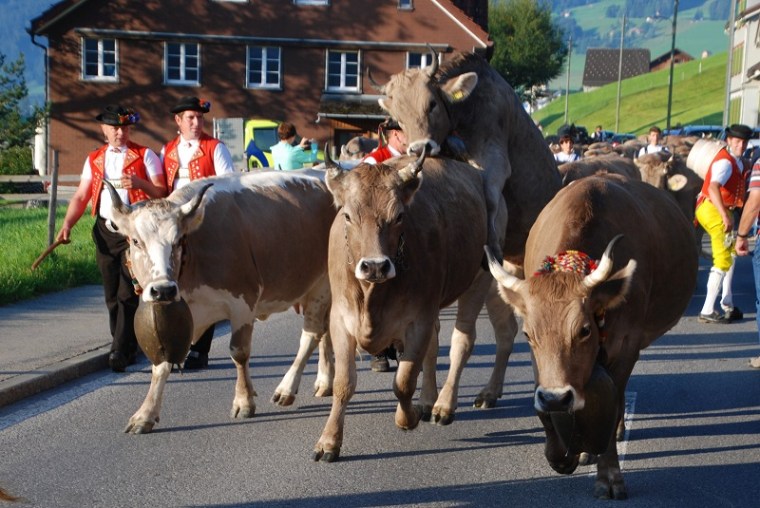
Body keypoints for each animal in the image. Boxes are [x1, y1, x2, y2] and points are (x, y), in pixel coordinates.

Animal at [105, 170, 337, 434]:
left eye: (178, 240)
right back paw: (324, 382)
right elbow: (162, 363)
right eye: (135, 241)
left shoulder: (242, 303)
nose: (163, 290)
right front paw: (145, 414)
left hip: (322, 285)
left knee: (311, 335)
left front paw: (244, 401)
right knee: (324, 332)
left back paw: (286, 389)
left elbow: (239, 352)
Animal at [312, 151, 488, 462]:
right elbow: (343, 384)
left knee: (463, 341)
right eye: (348, 215)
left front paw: (407, 419)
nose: (375, 266)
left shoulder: (417, 320)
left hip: (478, 279)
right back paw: (429, 400)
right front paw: (329, 440)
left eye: (399, 216)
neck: (372, 296)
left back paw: (443, 405)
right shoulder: (341, 320)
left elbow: (404, 381)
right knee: (435, 346)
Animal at [373, 49, 561, 416]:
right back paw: (491, 391)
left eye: (432, 103)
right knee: (507, 331)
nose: (420, 147)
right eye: (397, 117)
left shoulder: (495, 160)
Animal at [486, 176, 698, 499]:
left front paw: (609, 476)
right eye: (528, 333)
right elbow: (543, 406)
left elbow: (610, 407)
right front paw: (561, 454)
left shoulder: (626, 344)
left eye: (584, 330)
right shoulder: (542, 366)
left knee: (618, 397)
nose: (557, 398)